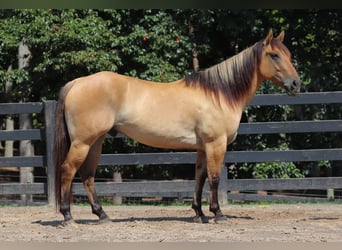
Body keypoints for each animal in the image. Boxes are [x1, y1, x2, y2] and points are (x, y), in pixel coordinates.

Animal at [52, 28, 300, 225]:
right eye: (274, 55)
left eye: (288, 54)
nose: (296, 84)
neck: (218, 95)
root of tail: (77, 82)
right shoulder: (216, 144)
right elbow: (214, 178)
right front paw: (218, 214)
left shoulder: (202, 147)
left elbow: (200, 177)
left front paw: (199, 213)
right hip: (82, 142)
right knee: (67, 170)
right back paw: (67, 216)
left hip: (95, 142)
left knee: (87, 175)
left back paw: (102, 215)